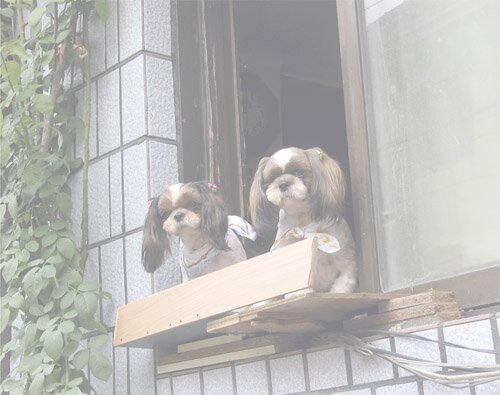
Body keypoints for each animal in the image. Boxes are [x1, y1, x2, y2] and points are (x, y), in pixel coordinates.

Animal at [249, 147, 358, 292]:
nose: (283, 183)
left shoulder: (346, 265)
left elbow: (341, 285)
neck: (303, 223)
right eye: (272, 178)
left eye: (299, 172)